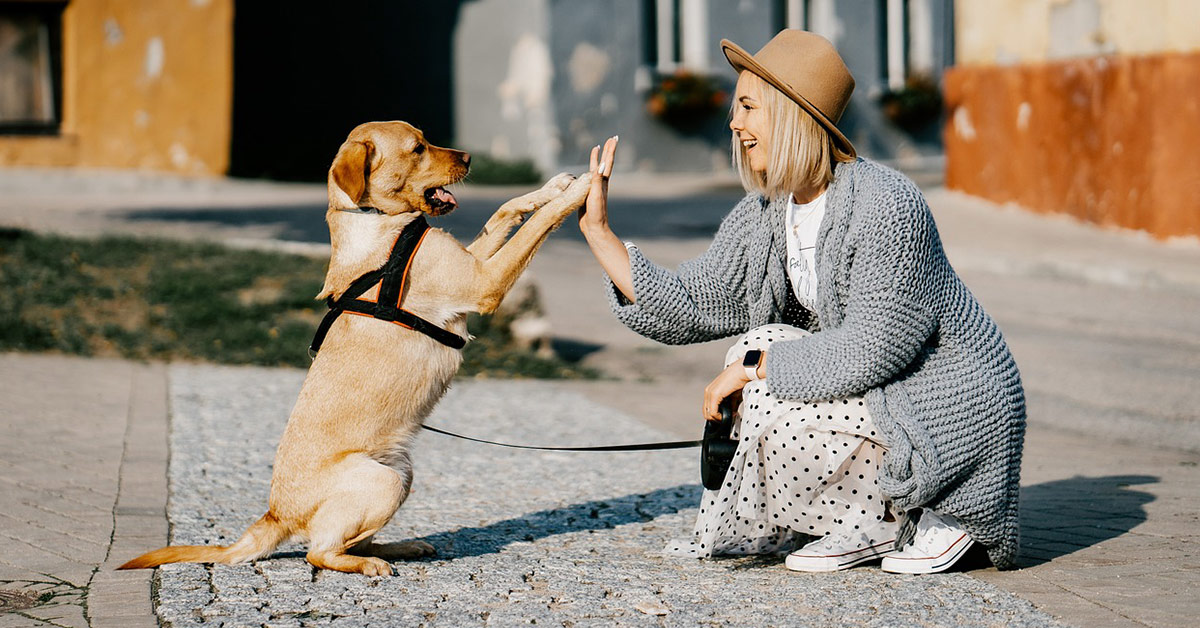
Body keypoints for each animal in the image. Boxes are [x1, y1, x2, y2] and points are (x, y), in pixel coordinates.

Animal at [120, 120, 590, 578]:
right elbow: (536, 226)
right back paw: (369, 564)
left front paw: (553, 186)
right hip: (382, 482)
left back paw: (401, 547)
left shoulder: (473, 262)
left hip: (401, 472)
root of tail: (275, 515)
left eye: (426, 139)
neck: (377, 221)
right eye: (417, 148)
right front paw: (582, 188)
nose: (470, 157)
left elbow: (506, 210)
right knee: (319, 552)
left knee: (348, 540)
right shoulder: (483, 283)